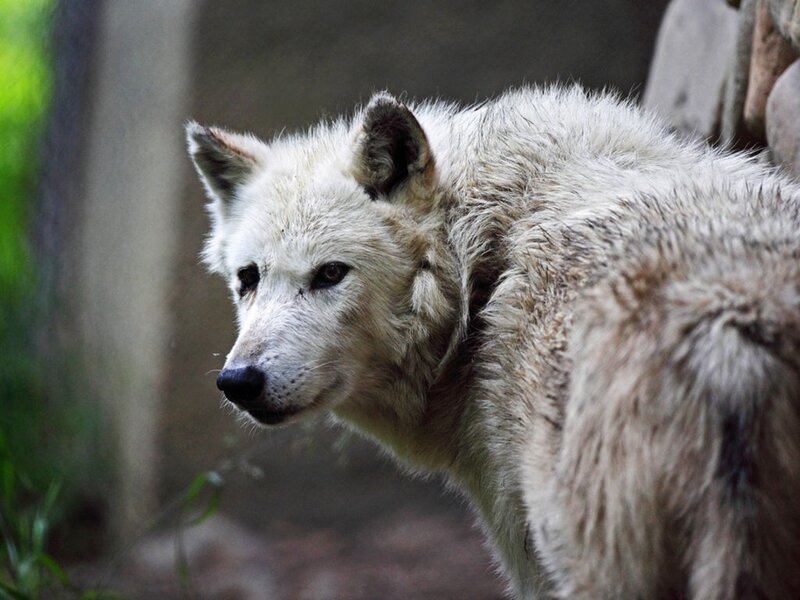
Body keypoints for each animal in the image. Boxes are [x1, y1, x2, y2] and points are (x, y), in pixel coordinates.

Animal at [186, 86, 800, 599]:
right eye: (248, 278)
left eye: (331, 274)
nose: (238, 382)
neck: (480, 267)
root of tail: (731, 335)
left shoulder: (526, 551)